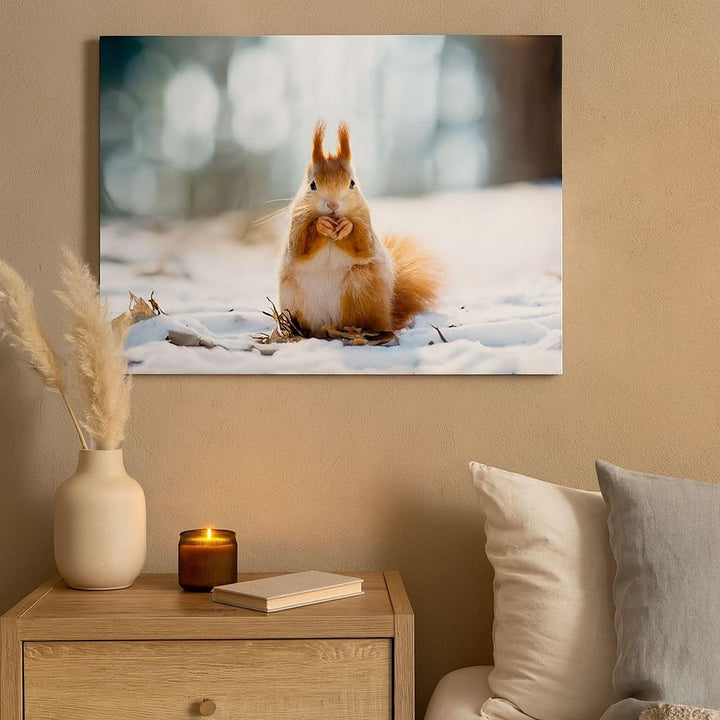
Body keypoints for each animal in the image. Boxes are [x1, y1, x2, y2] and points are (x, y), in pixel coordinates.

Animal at [278, 121, 441, 337]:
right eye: (312, 185)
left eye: (352, 183)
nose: (333, 205)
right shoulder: (297, 223)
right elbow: (300, 246)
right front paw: (321, 225)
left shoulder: (365, 222)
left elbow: (364, 245)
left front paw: (347, 227)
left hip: (360, 289)